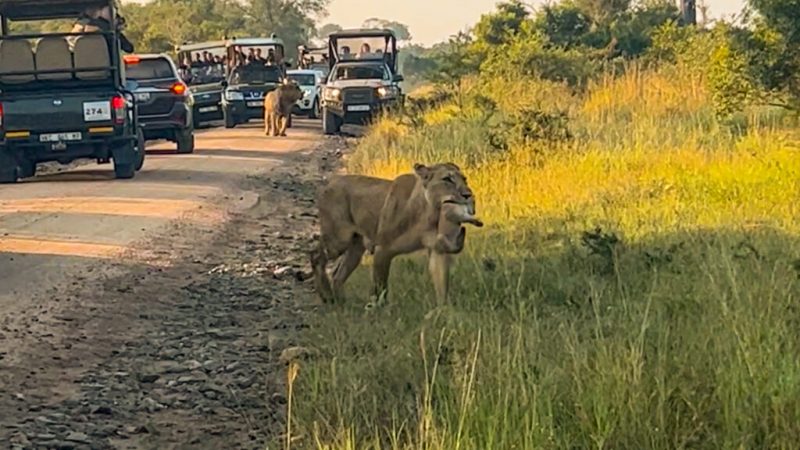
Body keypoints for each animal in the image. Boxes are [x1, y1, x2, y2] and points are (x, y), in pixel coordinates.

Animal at [310, 162, 477, 307]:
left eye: (464, 179)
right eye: (447, 179)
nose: (468, 194)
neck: (430, 215)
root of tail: (332, 181)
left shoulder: (438, 249)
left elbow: (442, 282)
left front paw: (444, 311)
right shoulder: (383, 249)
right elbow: (380, 285)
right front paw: (379, 309)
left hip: (355, 248)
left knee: (338, 274)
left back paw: (341, 303)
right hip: (338, 240)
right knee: (316, 256)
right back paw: (327, 296)